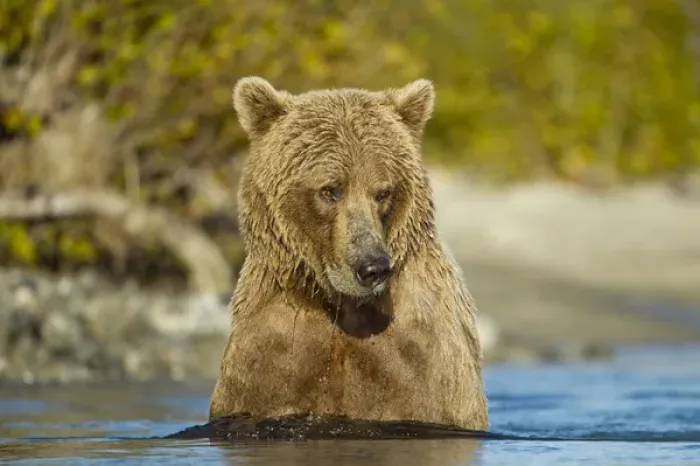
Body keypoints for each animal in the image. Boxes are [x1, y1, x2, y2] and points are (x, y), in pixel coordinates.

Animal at [208, 76, 489, 431]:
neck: (342, 306)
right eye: (330, 190)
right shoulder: (271, 353)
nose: (372, 267)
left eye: (383, 191)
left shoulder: (421, 360)